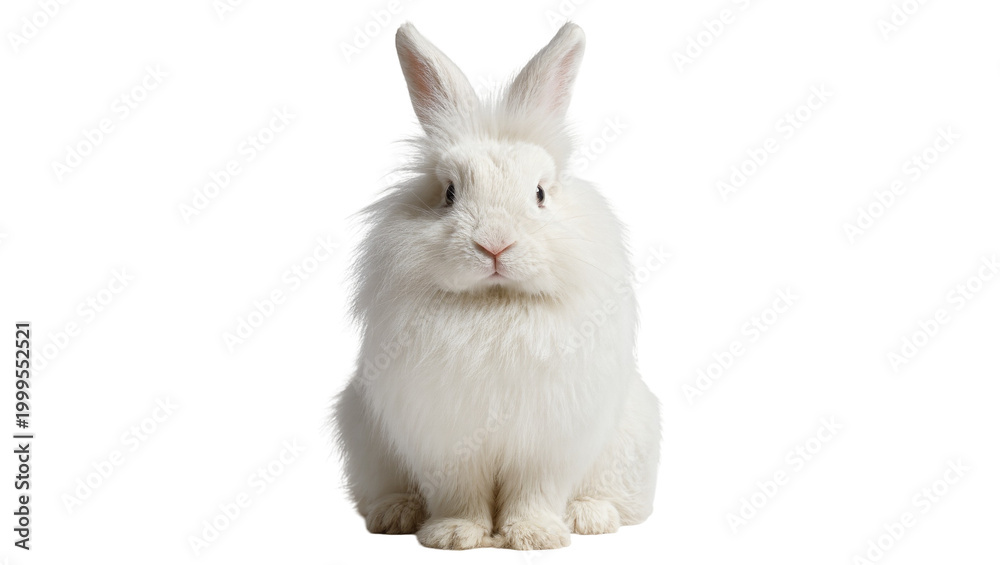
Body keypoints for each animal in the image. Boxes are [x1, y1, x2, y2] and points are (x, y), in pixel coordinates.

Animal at [332, 21, 661, 551]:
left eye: (540, 193)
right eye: (449, 193)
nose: (494, 245)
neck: (495, 302)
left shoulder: (547, 445)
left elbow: (535, 493)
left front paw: (535, 536)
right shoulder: (446, 442)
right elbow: (459, 494)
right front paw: (454, 535)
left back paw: (590, 517)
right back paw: (396, 514)